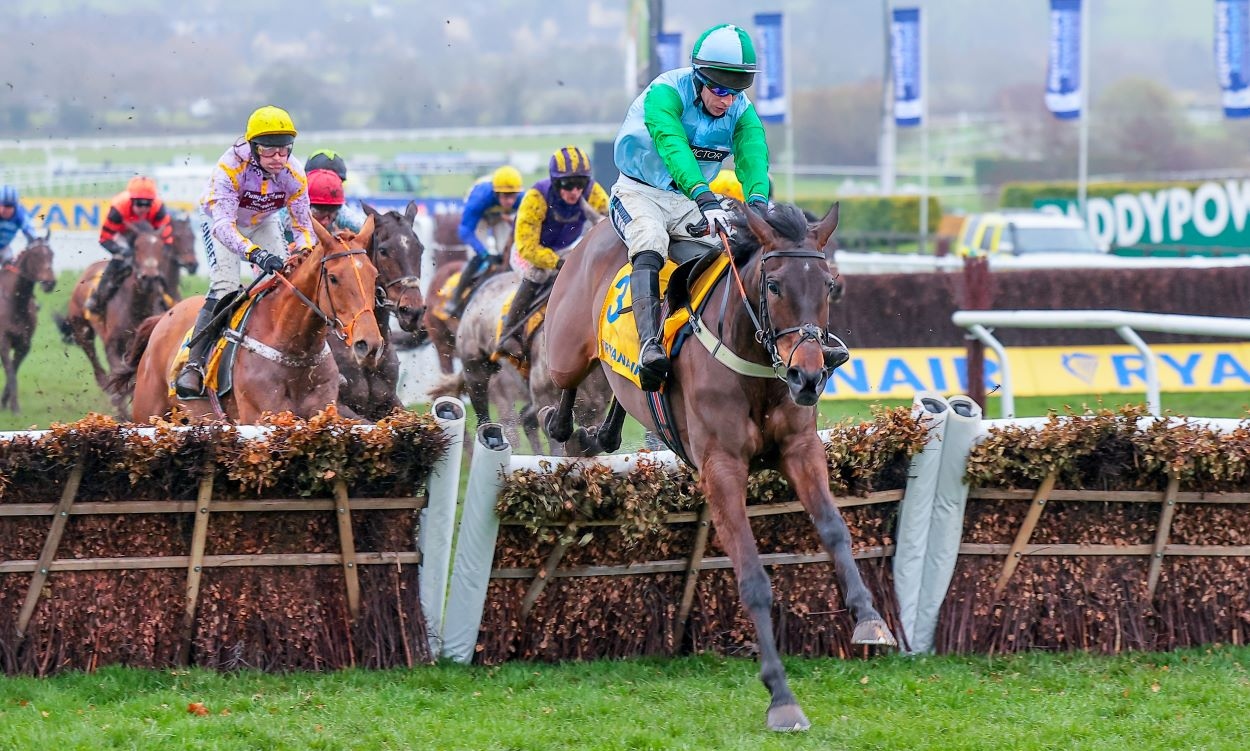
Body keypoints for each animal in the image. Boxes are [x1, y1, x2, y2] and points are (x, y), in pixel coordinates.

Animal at [0, 234, 57, 412]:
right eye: (35, 255)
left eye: (51, 254)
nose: (49, 282)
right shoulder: (3, 341)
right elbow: (11, 372)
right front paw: (14, 407)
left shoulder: (24, 344)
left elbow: (13, 370)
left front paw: (6, 403)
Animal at [117, 216, 382, 424]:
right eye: (334, 278)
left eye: (374, 274)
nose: (369, 344)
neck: (293, 347)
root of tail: (163, 318)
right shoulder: (260, 416)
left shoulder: (323, 412)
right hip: (148, 414)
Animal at [542, 202, 895, 729]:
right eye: (774, 286)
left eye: (829, 285)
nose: (809, 375)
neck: (755, 365)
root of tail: (598, 229)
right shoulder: (721, 468)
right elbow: (751, 576)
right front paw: (781, 696)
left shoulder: (801, 448)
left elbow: (835, 529)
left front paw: (870, 620)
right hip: (567, 347)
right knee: (566, 380)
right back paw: (564, 424)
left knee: (619, 390)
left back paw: (603, 431)